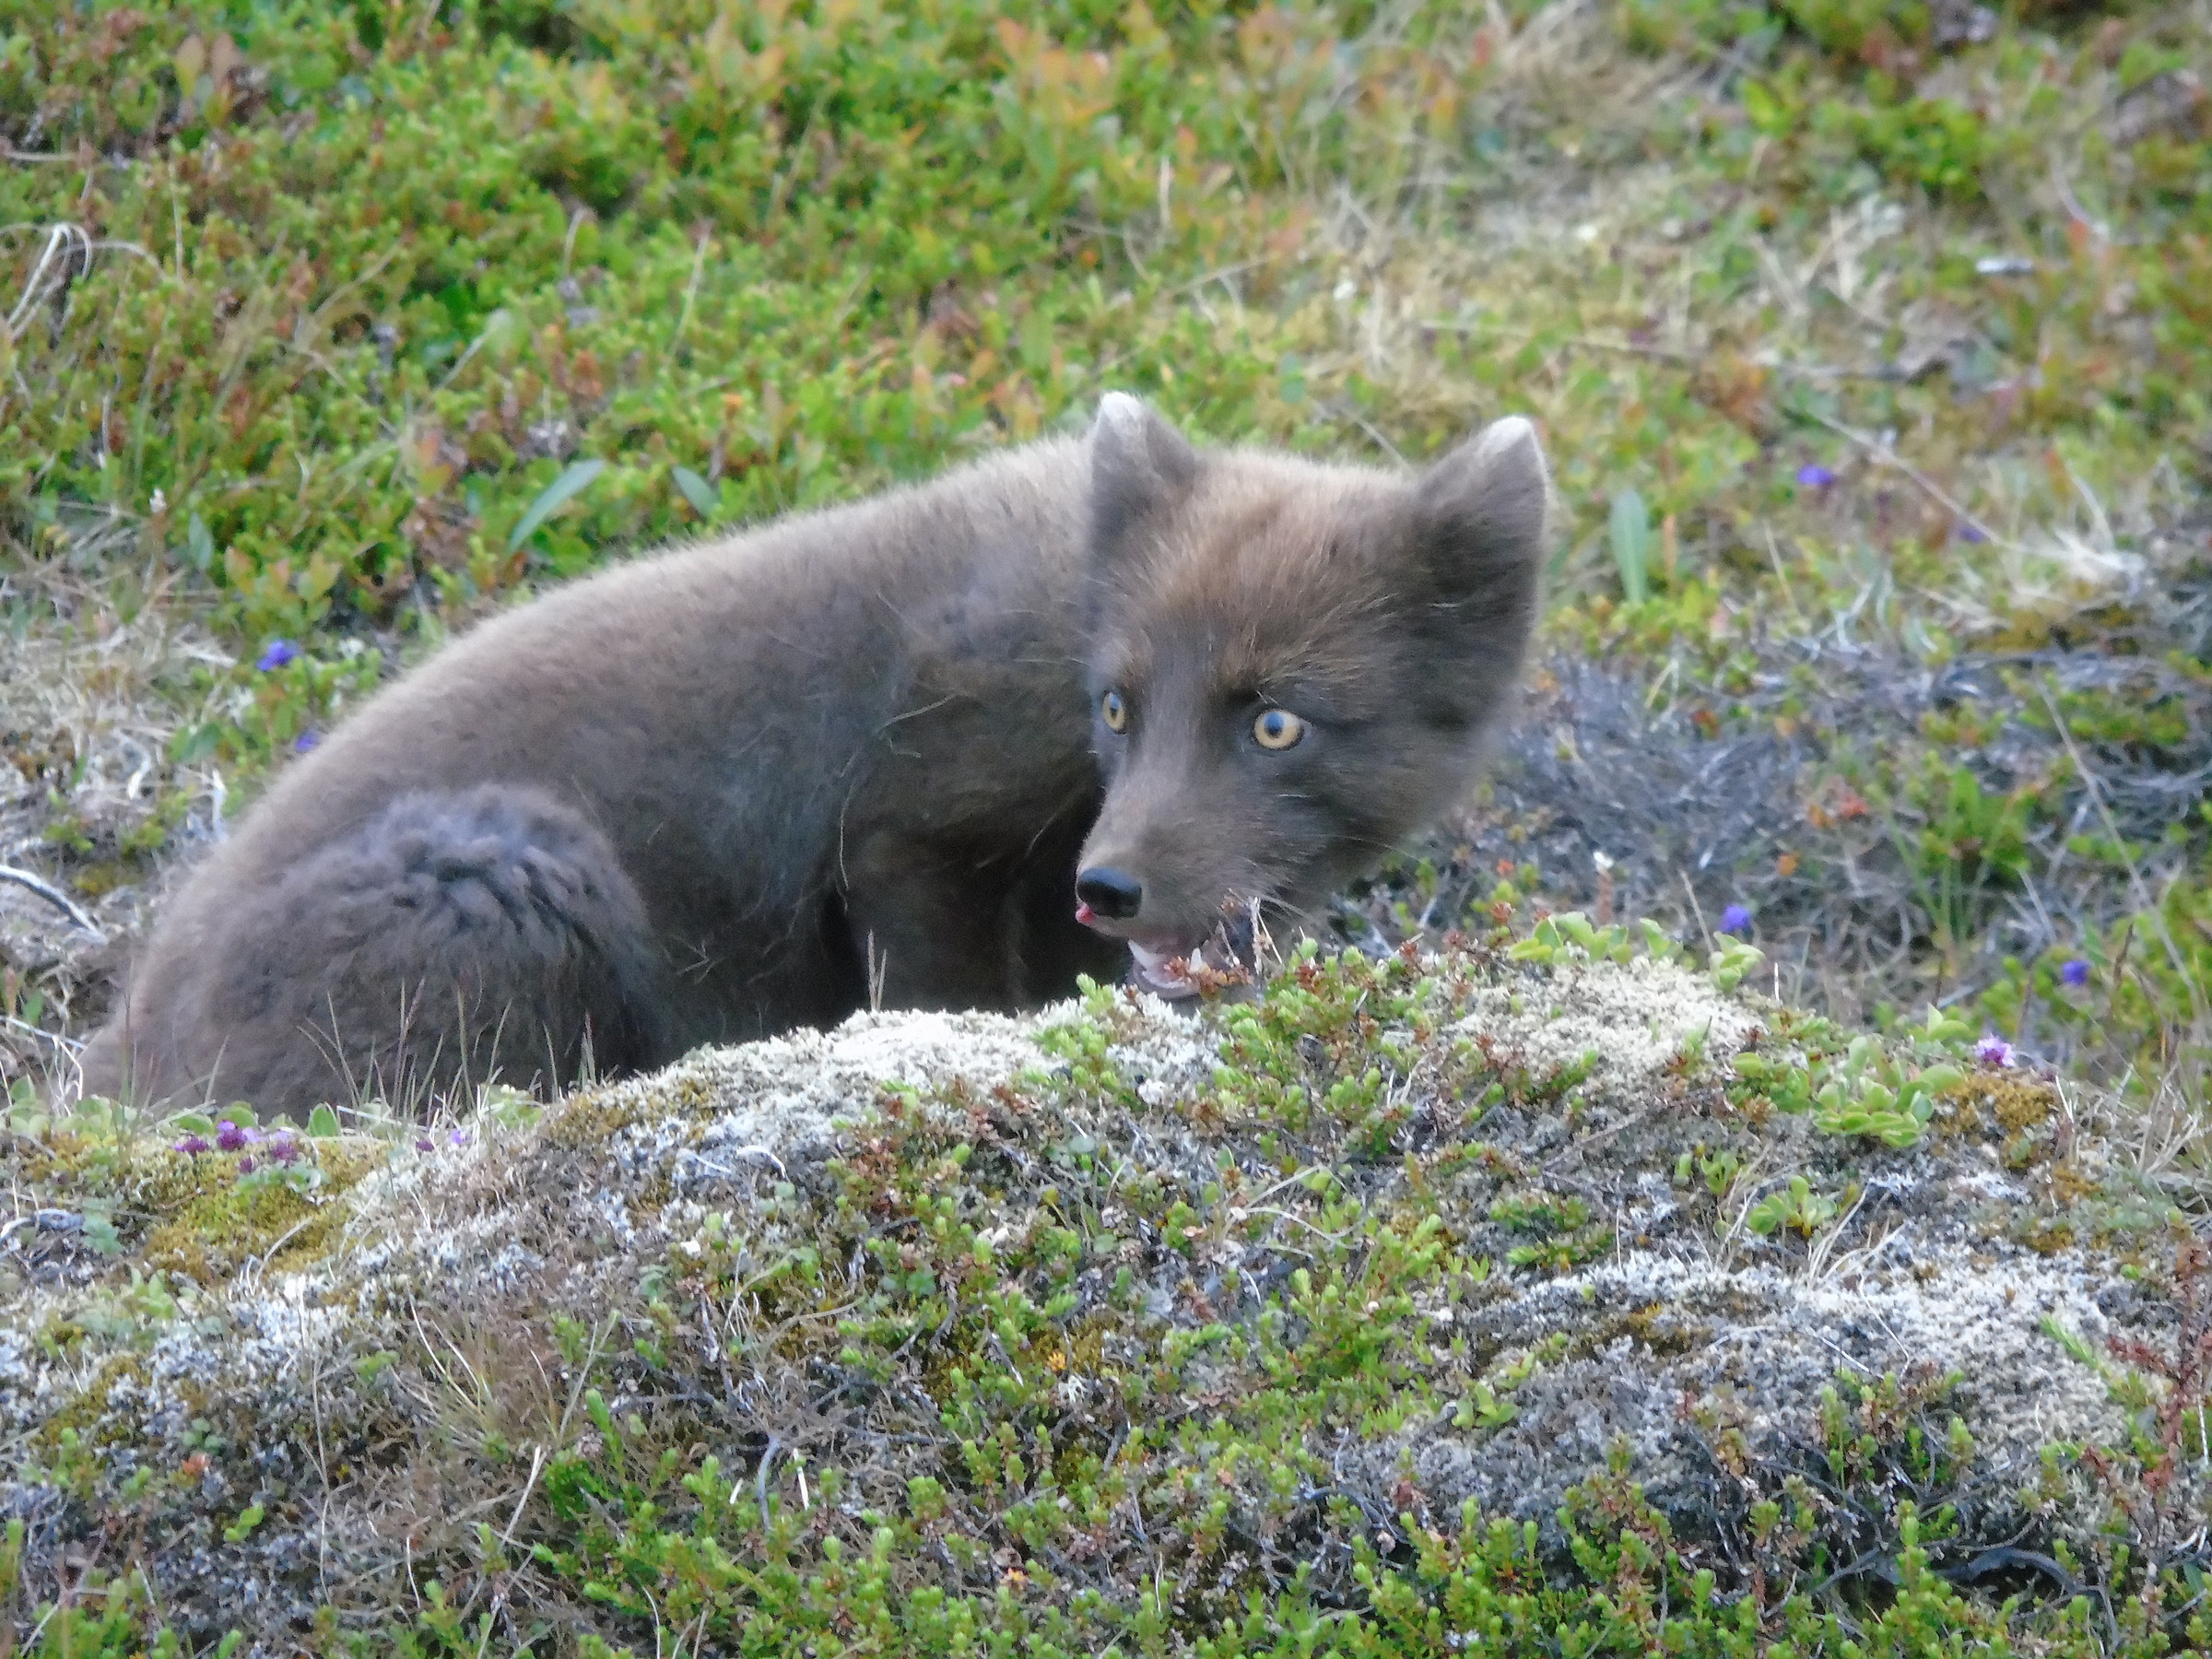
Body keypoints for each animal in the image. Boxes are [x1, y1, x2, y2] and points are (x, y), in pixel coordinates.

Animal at [78, 394, 1550, 1116]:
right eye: (1118, 707)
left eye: (1275, 721)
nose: (1112, 888)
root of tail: (102, 1063)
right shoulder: (911, 835)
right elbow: (944, 991)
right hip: (514, 875)